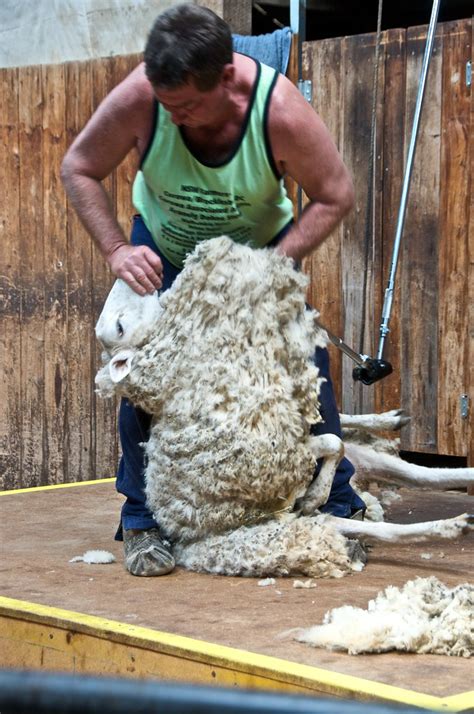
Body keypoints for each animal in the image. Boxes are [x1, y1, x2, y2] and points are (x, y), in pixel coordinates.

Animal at [94, 235, 472, 580]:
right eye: (120, 327)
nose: (144, 261)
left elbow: (335, 438)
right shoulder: (279, 452)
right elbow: (333, 443)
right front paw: (315, 494)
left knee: (415, 469)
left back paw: (390, 425)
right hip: (285, 519)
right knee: (381, 509)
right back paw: (450, 524)